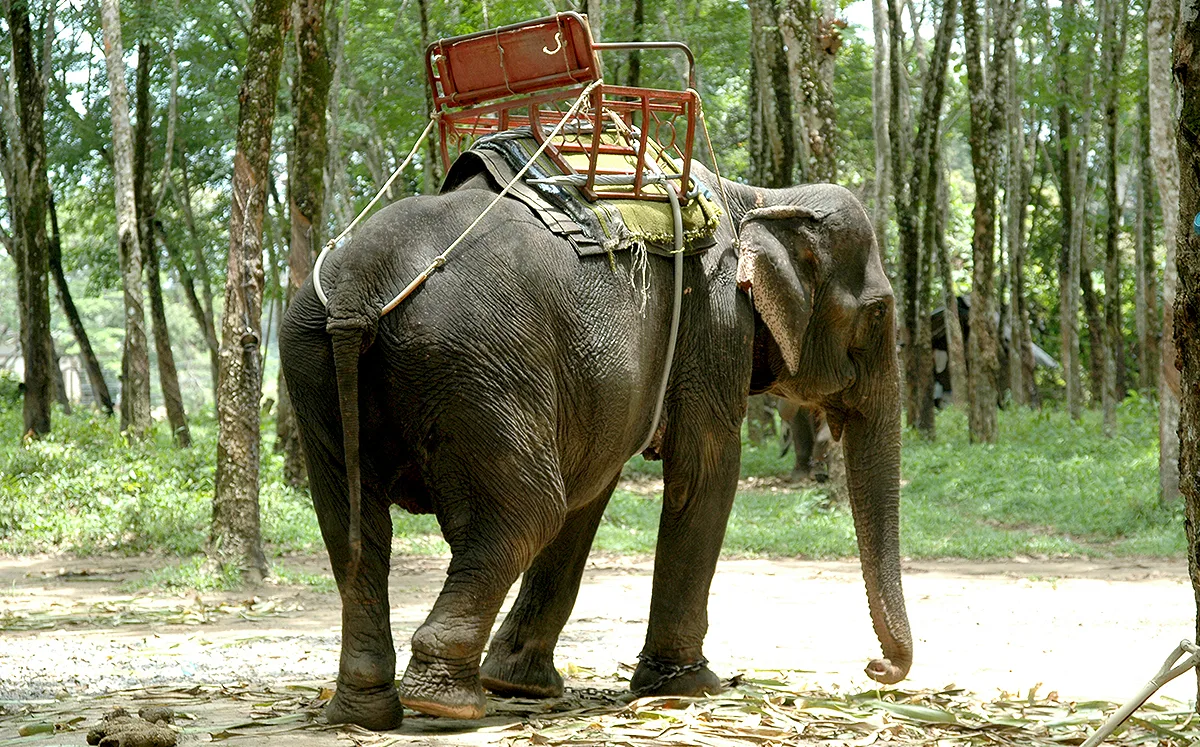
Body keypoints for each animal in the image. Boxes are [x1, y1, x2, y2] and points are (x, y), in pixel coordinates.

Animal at [279, 161, 912, 730]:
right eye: (879, 311)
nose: (875, 668)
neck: (759, 195)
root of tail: (361, 284)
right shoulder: (714, 323)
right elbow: (705, 471)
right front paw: (691, 688)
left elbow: (592, 492)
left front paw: (523, 685)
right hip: (476, 365)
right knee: (527, 513)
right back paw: (446, 705)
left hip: (311, 360)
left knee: (355, 528)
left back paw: (363, 711)